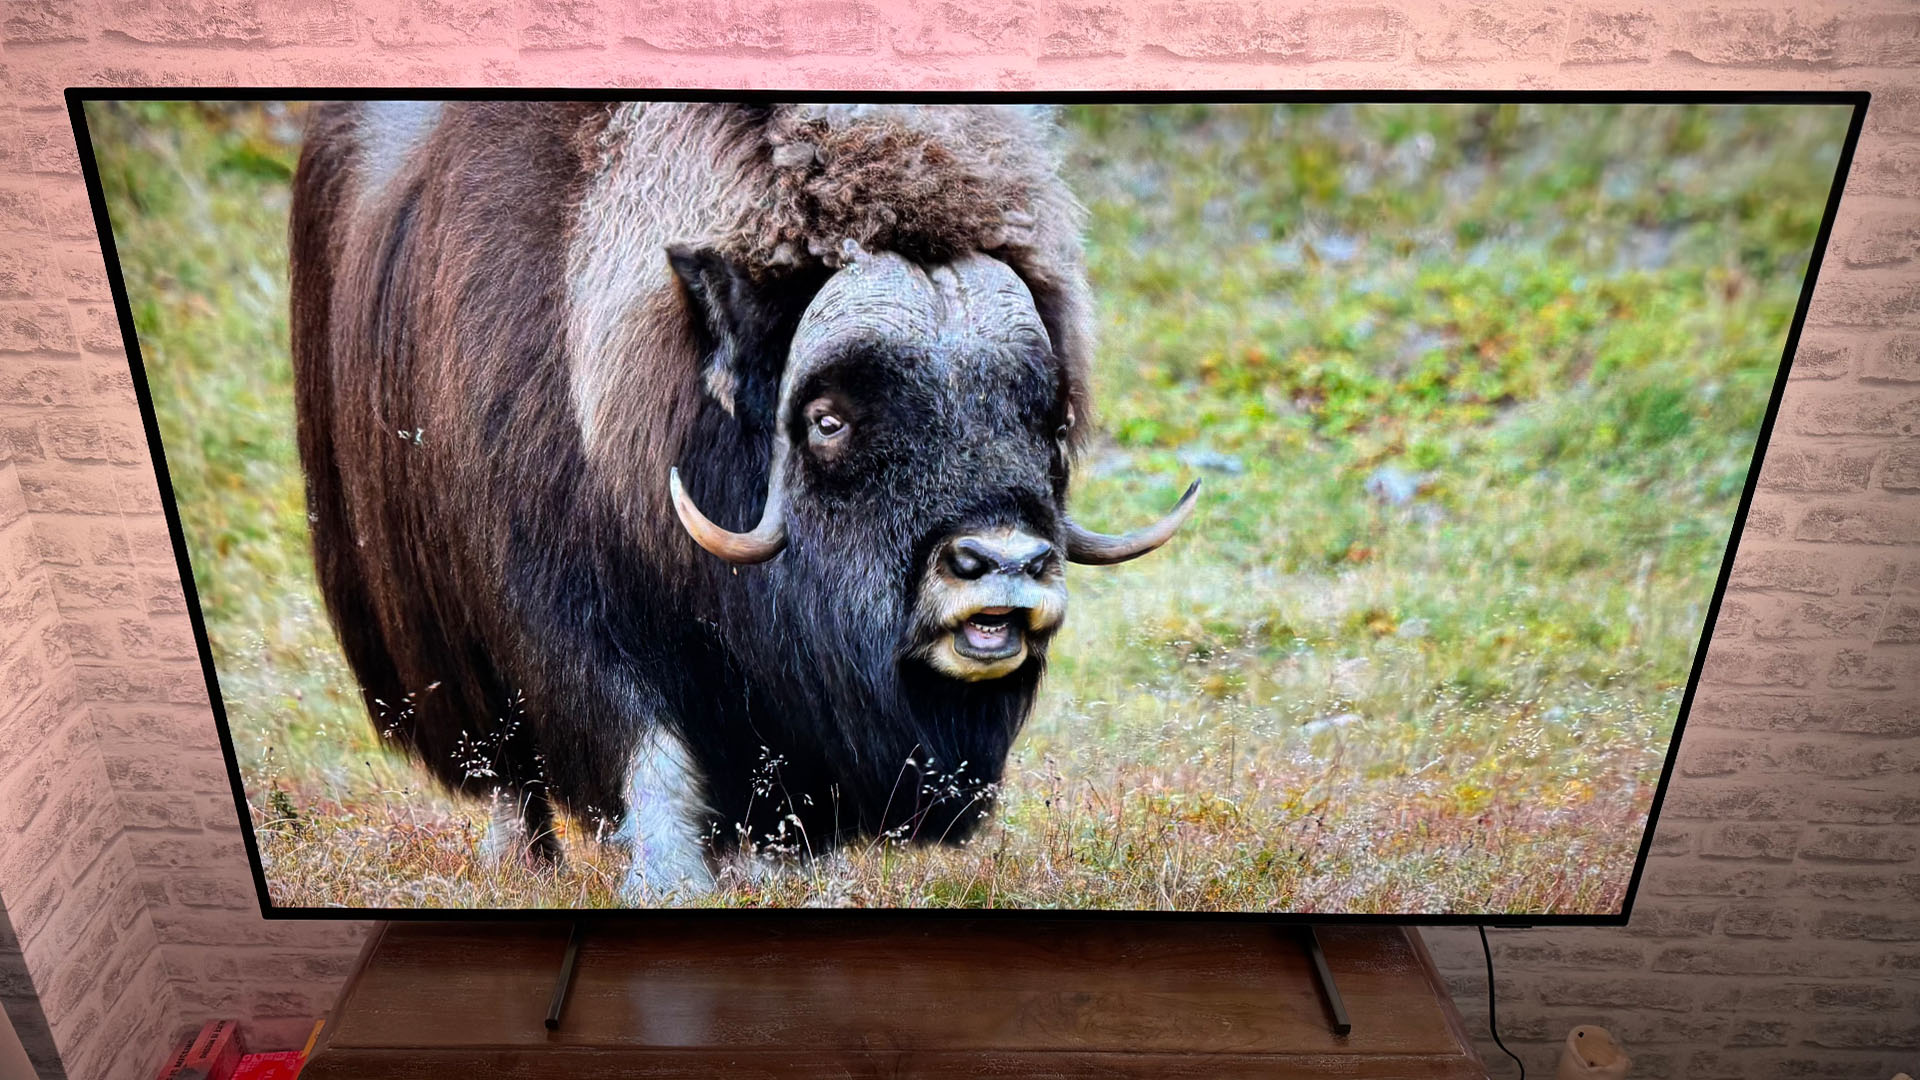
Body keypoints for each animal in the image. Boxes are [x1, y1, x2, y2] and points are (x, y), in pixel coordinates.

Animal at [288, 100, 1196, 897]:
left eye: (1048, 416)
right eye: (828, 419)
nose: (1005, 563)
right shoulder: (558, 608)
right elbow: (641, 742)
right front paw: (668, 885)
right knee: (507, 765)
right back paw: (522, 863)